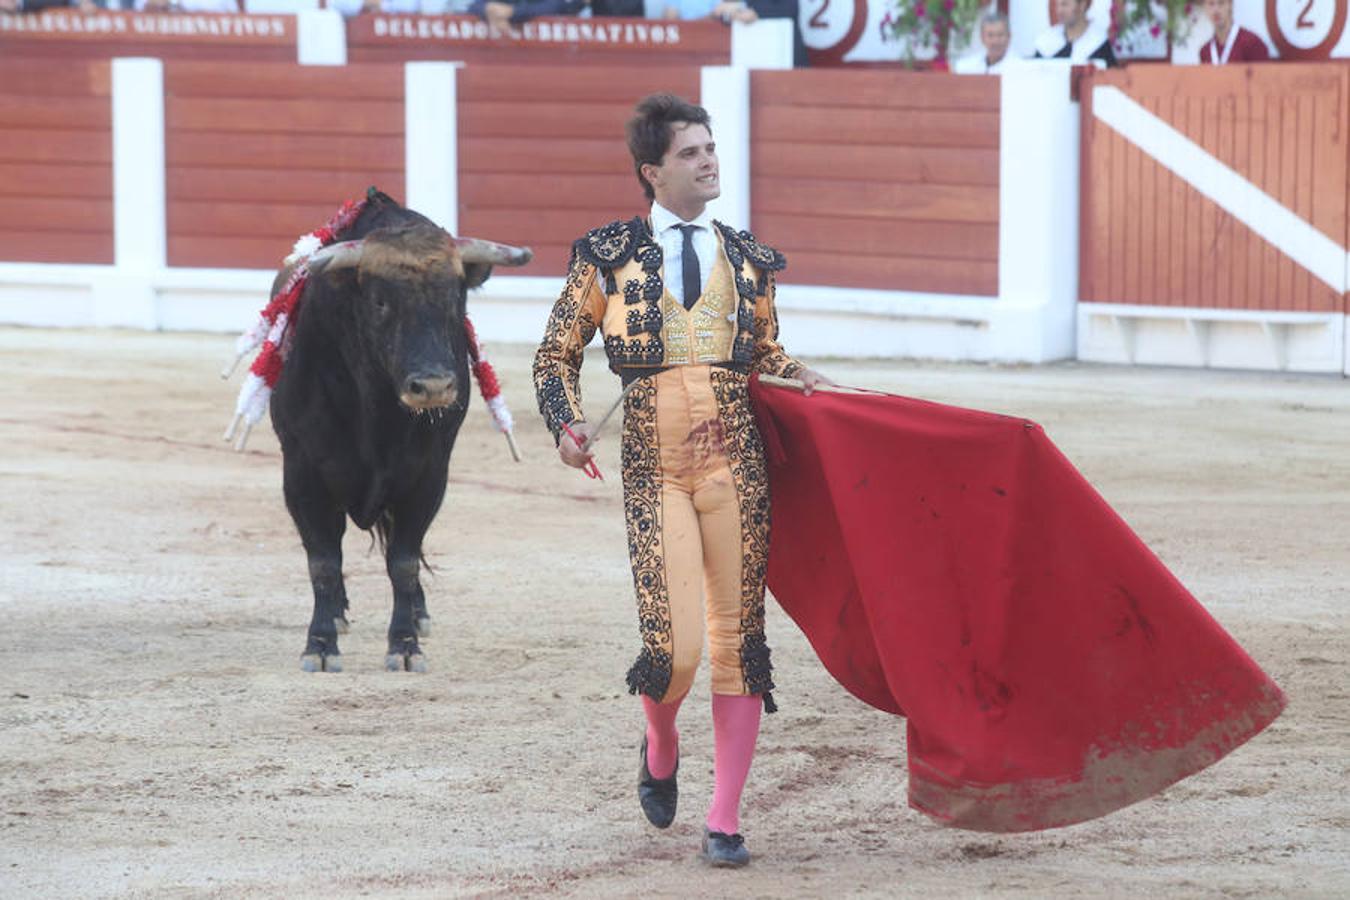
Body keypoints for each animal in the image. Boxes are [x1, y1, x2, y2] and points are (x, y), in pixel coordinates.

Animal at [265, 194, 529, 671]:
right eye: (380, 303)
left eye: (456, 298)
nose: (434, 386)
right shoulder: (301, 474)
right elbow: (323, 562)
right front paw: (320, 644)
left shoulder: (427, 475)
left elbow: (403, 562)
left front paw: (405, 644)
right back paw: (338, 614)